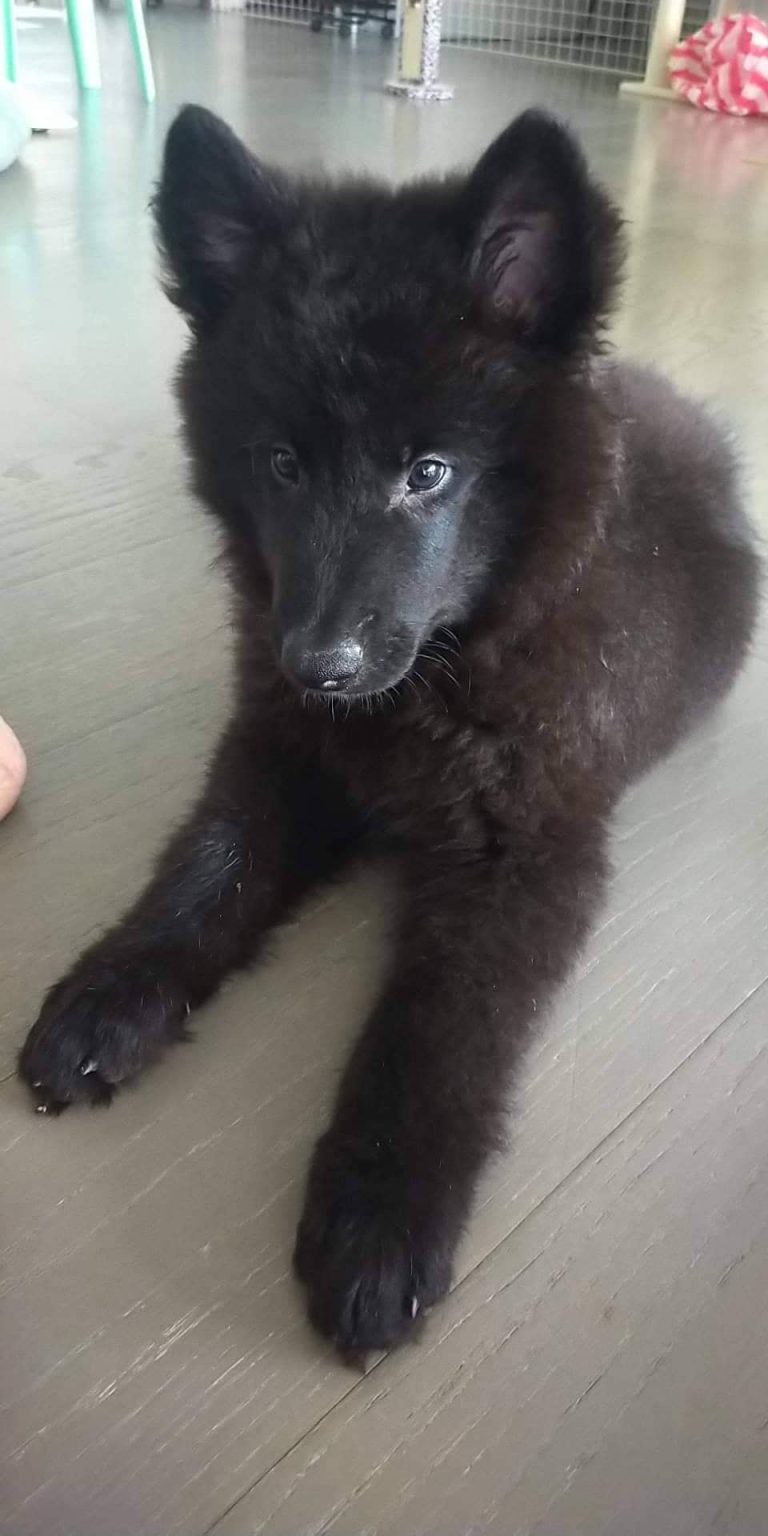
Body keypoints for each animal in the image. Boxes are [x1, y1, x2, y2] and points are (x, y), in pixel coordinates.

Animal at [20, 106, 759, 1354]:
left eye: (430, 472)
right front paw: (110, 993)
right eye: (280, 463)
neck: (428, 691)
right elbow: (205, 867)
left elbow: (436, 1027)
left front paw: (379, 1217)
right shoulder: (278, 752)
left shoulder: (523, 852)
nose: (317, 664)